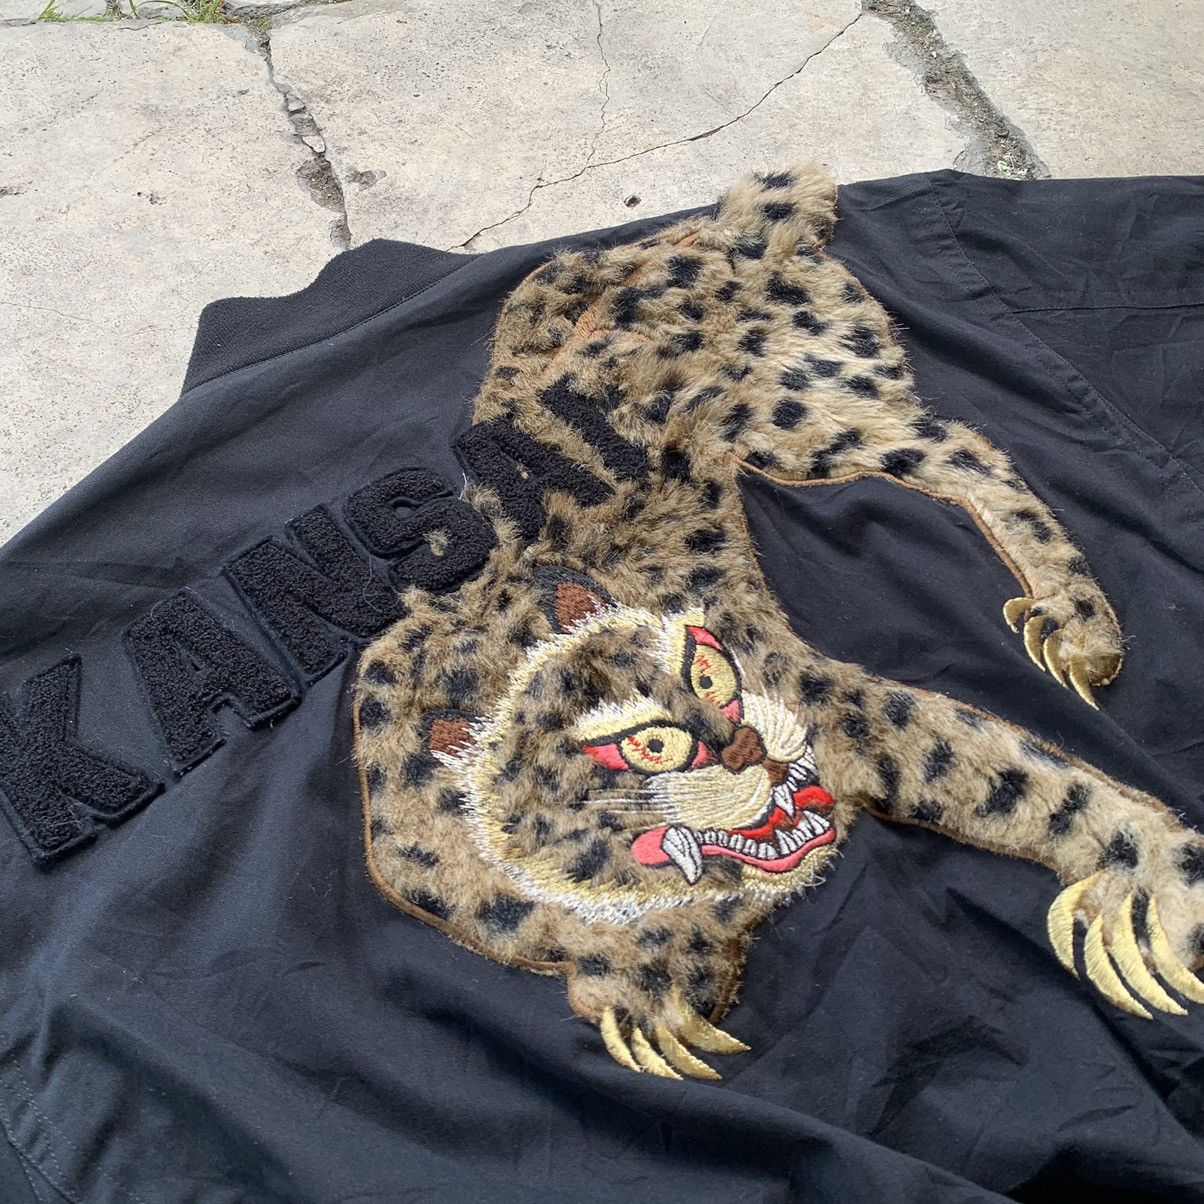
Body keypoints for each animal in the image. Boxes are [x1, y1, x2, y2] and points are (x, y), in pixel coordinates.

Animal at [353, 165, 1204, 1079]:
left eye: (705, 667)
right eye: (644, 744)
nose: (744, 746)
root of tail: (718, 230)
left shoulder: (832, 706)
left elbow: (1022, 775)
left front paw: (1169, 882)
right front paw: (655, 989)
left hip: (802, 411)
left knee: (964, 447)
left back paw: (1076, 623)